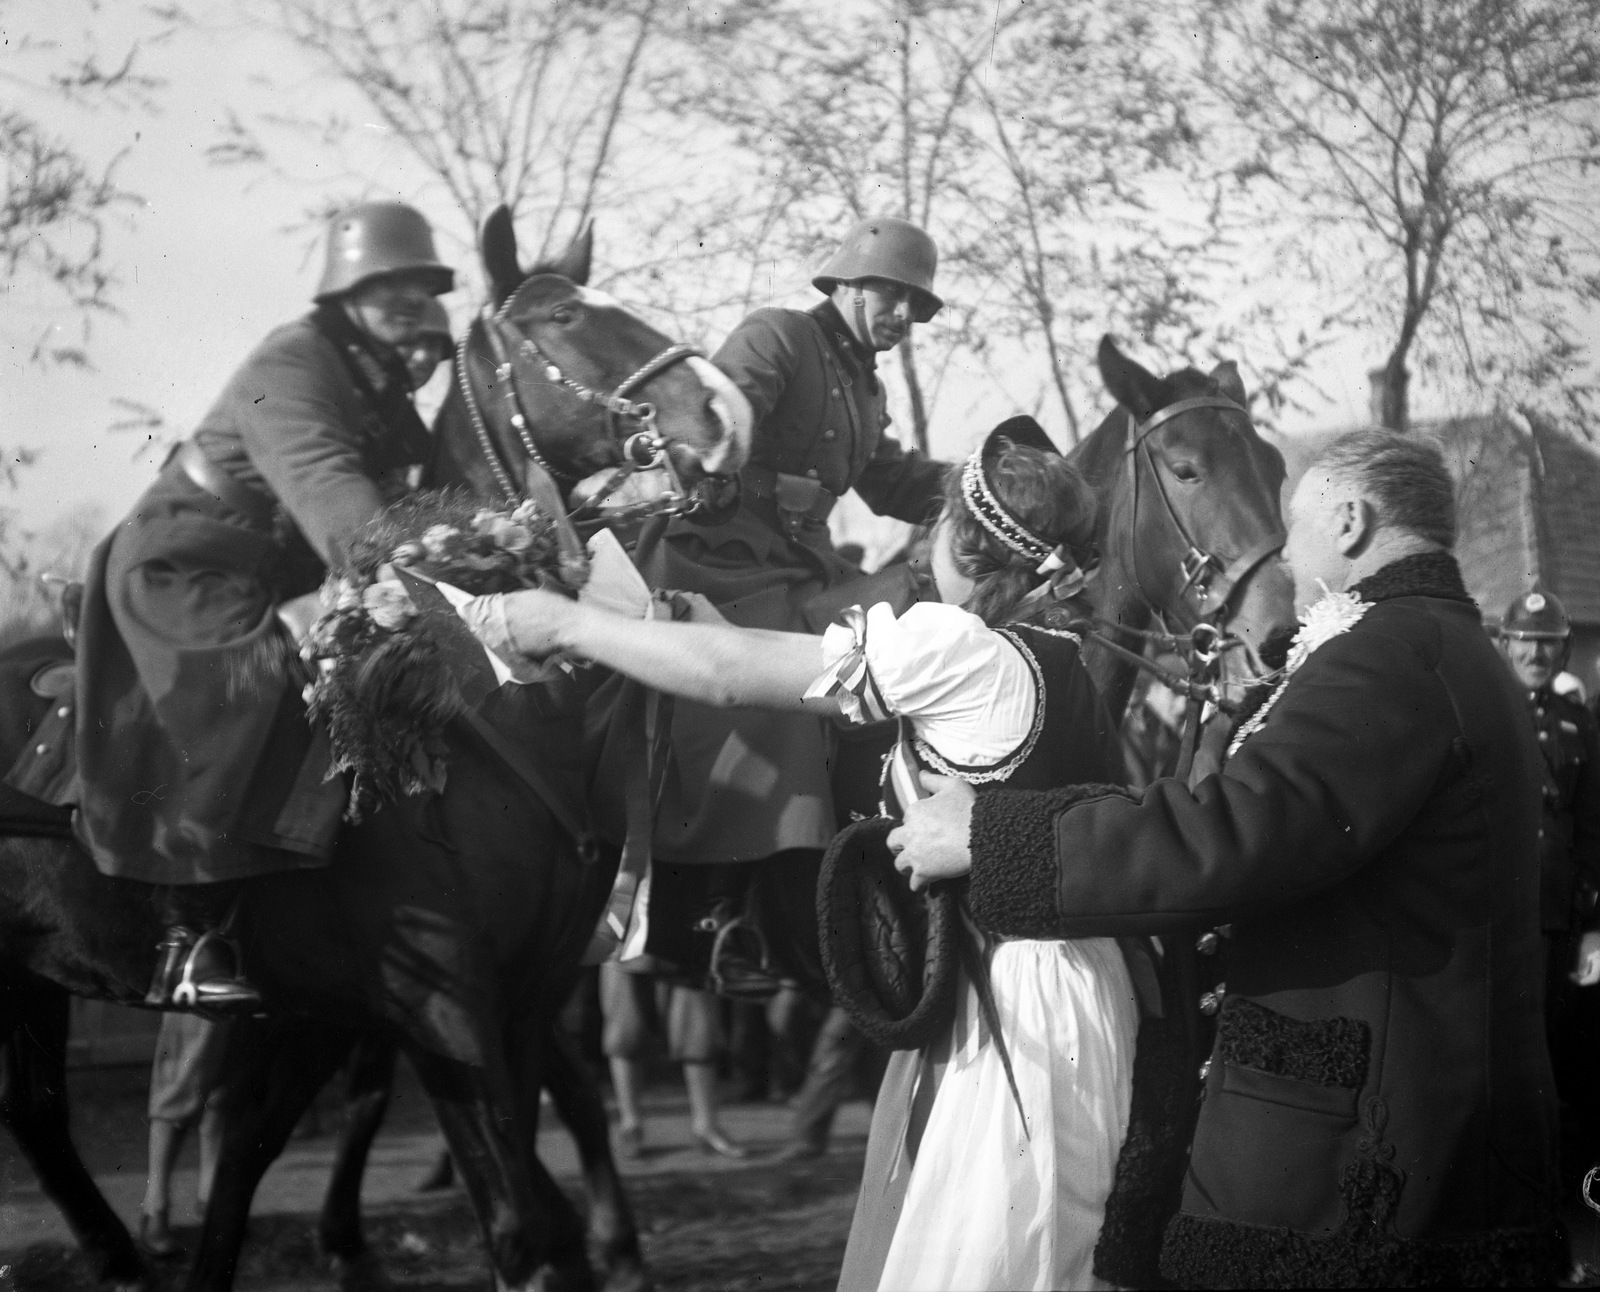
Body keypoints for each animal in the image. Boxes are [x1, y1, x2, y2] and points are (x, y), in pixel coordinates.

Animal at [0, 214, 748, 1292]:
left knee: (44, 1112)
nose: (725, 414)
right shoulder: (439, 1006)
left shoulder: (514, 1006)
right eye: (564, 317)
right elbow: (520, 1227)